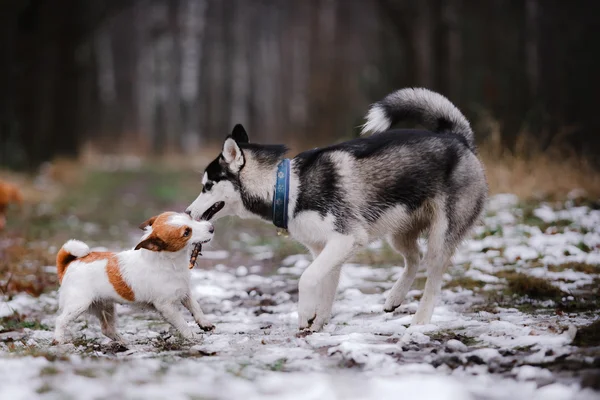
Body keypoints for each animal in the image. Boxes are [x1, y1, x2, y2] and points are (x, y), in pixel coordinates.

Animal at [52, 211, 214, 346]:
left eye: (190, 217)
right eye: (186, 232)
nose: (211, 227)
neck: (168, 262)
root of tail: (69, 264)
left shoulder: (185, 292)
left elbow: (196, 307)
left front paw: (204, 323)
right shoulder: (166, 307)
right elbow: (182, 323)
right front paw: (192, 336)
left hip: (106, 306)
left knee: (107, 329)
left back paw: (124, 342)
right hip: (78, 305)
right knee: (60, 320)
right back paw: (59, 340)